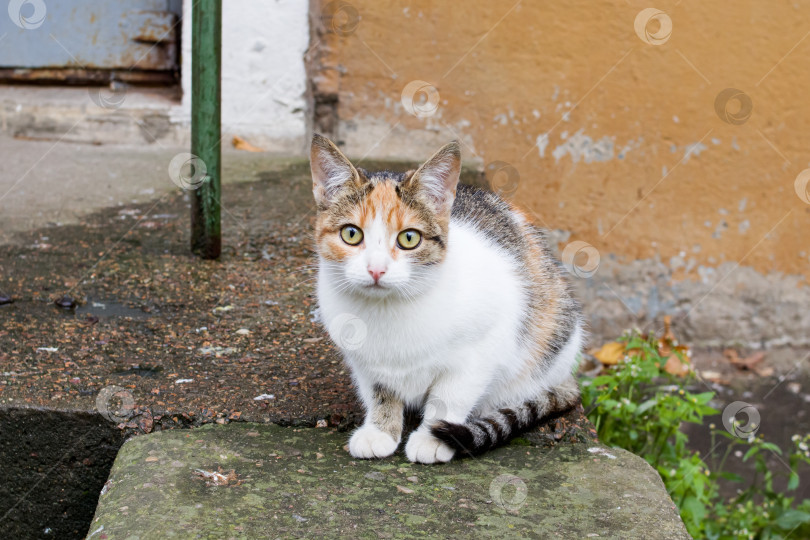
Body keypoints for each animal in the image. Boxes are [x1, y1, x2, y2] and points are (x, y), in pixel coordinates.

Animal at [310, 135, 580, 464]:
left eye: (409, 238)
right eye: (351, 234)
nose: (376, 269)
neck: (388, 309)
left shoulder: (482, 350)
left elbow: (449, 396)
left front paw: (431, 437)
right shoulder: (365, 362)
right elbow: (380, 391)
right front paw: (381, 430)